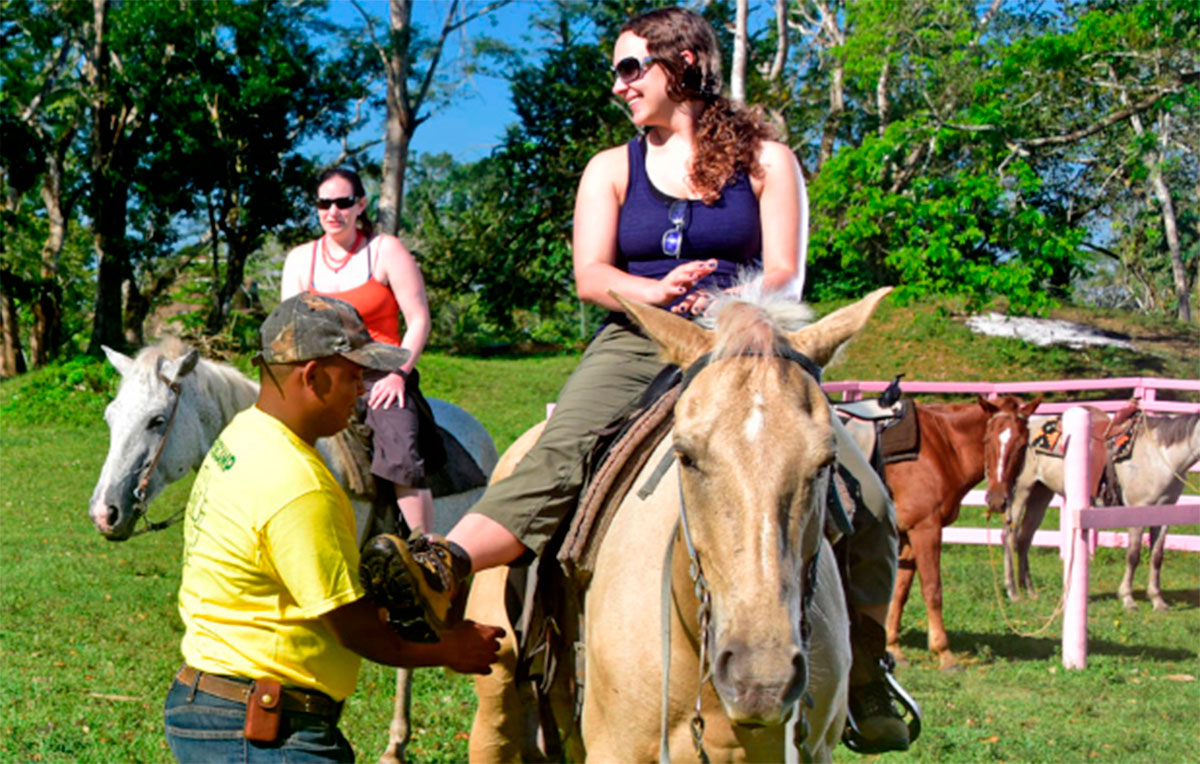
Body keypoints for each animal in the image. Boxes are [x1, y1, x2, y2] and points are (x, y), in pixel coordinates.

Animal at [883, 393, 1041, 666]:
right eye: (987, 440)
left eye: (1022, 445)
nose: (997, 501)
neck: (937, 448)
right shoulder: (925, 529)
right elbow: (933, 589)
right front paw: (943, 653)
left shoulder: (907, 534)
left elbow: (900, 590)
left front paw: (893, 647)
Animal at [988, 410, 1195, 606]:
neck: (1159, 456)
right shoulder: (1138, 509)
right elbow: (1133, 555)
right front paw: (1128, 599)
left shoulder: (1164, 512)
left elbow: (1157, 556)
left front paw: (1158, 600)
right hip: (1020, 492)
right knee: (1009, 536)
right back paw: (1013, 592)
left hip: (1041, 494)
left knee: (1025, 538)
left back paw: (1029, 591)